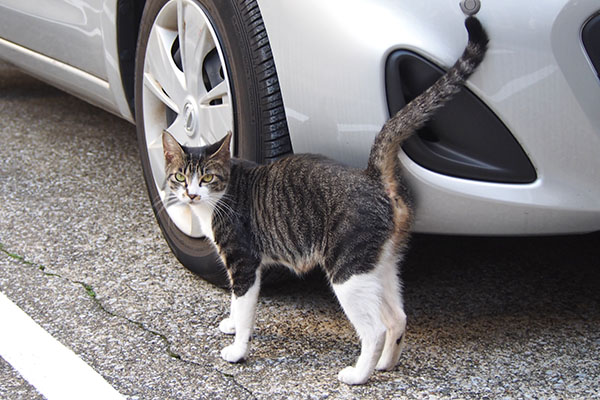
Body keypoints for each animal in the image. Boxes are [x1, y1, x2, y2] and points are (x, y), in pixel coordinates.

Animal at [163, 17, 488, 386]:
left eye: (206, 178)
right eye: (180, 177)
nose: (191, 193)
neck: (221, 195)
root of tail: (371, 176)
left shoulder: (243, 260)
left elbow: (244, 307)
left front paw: (237, 349)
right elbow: (235, 302)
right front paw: (231, 324)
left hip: (348, 271)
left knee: (375, 330)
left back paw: (358, 375)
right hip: (380, 265)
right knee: (398, 318)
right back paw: (385, 364)